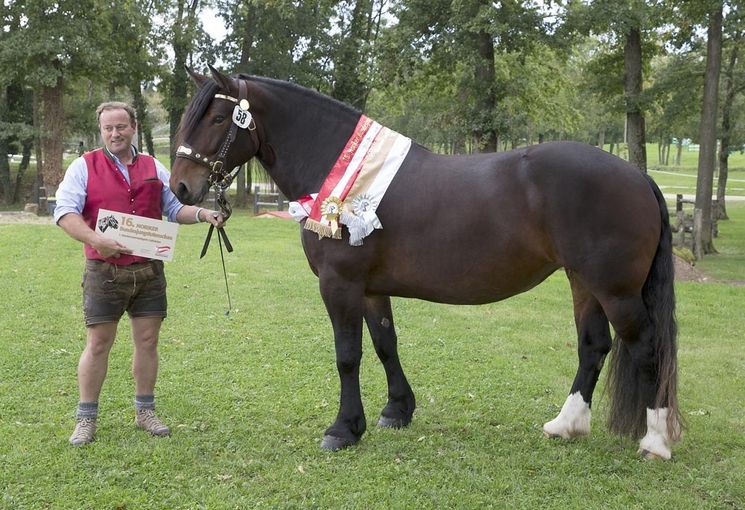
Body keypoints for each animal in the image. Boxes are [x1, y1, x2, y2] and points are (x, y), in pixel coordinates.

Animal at [173, 65, 680, 460]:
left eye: (216, 117)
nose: (180, 187)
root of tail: (638, 176)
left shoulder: (340, 285)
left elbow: (347, 356)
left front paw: (343, 429)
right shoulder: (371, 289)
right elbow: (385, 345)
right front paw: (397, 410)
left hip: (616, 290)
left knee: (647, 348)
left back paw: (655, 443)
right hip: (583, 282)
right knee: (594, 346)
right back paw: (566, 425)